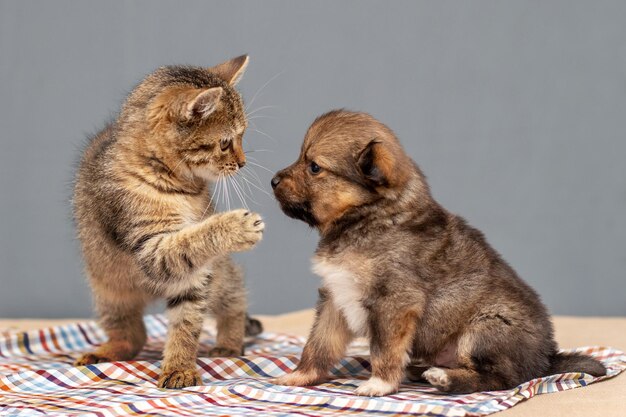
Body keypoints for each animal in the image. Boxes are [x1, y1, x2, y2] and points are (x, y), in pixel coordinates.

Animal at [73, 54, 264, 386]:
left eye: (243, 136)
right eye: (226, 142)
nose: (242, 163)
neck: (180, 187)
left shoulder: (196, 275)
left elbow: (187, 321)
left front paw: (179, 366)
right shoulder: (151, 246)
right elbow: (189, 241)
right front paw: (234, 227)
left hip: (219, 275)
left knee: (235, 299)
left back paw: (229, 342)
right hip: (106, 289)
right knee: (132, 335)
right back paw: (107, 351)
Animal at [270, 109, 604, 394]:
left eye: (314, 167)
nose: (272, 181)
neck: (367, 216)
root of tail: (547, 357)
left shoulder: (394, 301)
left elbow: (384, 349)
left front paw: (379, 384)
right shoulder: (335, 297)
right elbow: (318, 344)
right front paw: (300, 375)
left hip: (486, 327)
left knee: (500, 378)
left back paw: (444, 378)